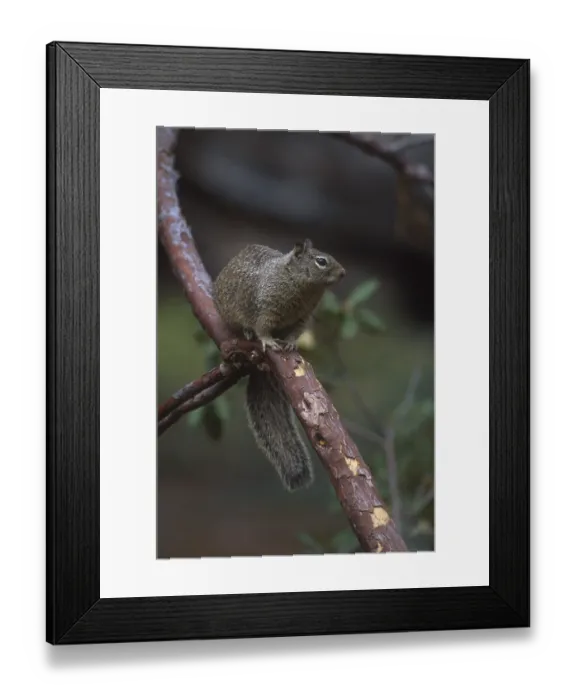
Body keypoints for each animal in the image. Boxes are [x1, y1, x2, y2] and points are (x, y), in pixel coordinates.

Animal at [212, 238, 346, 491]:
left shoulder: (303, 318)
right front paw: (267, 340)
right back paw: (248, 333)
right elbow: (262, 327)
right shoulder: (266, 308)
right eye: (321, 261)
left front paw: (291, 343)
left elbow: (295, 333)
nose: (343, 273)